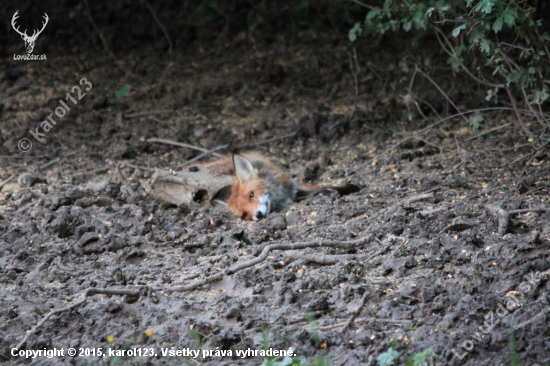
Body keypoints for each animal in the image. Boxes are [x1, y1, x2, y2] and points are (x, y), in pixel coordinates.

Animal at [205, 152, 360, 220]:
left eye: (251, 195)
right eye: (244, 215)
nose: (258, 214)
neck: (280, 197)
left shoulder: (292, 185)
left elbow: (318, 186)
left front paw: (347, 187)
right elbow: (313, 193)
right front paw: (325, 194)